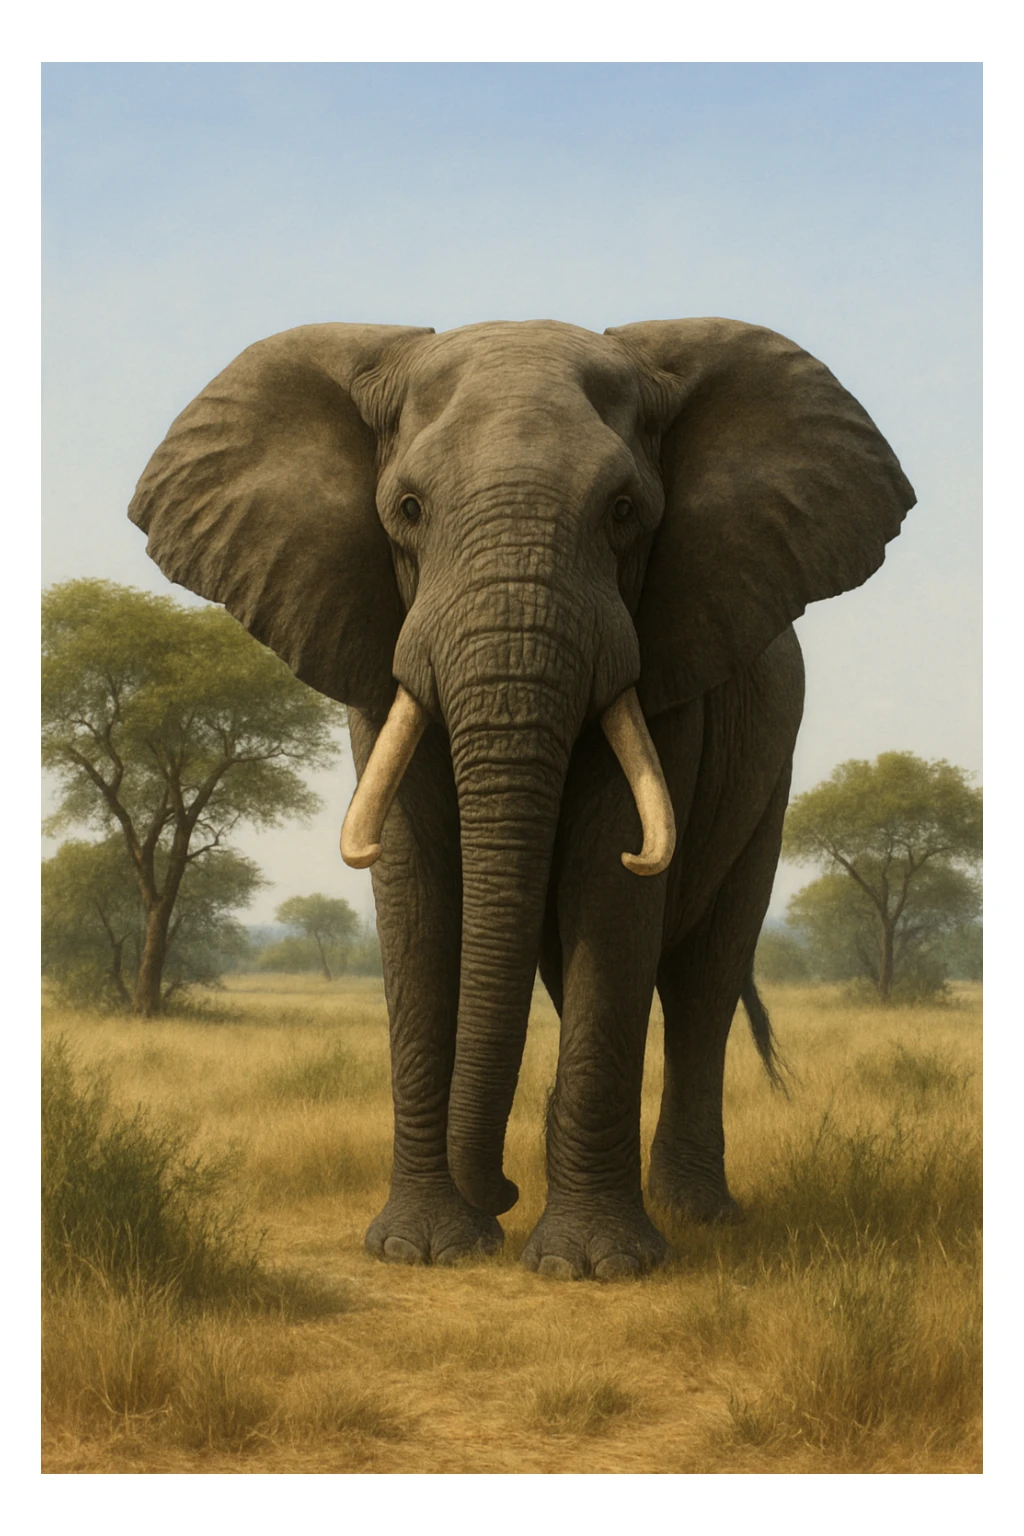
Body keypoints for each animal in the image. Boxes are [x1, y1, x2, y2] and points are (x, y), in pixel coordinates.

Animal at [128, 317, 914, 1279]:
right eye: (408, 510)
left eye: (624, 512)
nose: (495, 1193)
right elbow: (418, 892)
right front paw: (423, 1248)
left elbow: (611, 880)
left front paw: (595, 1267)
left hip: (772, 772)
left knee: (706, 977)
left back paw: (696, 1214)